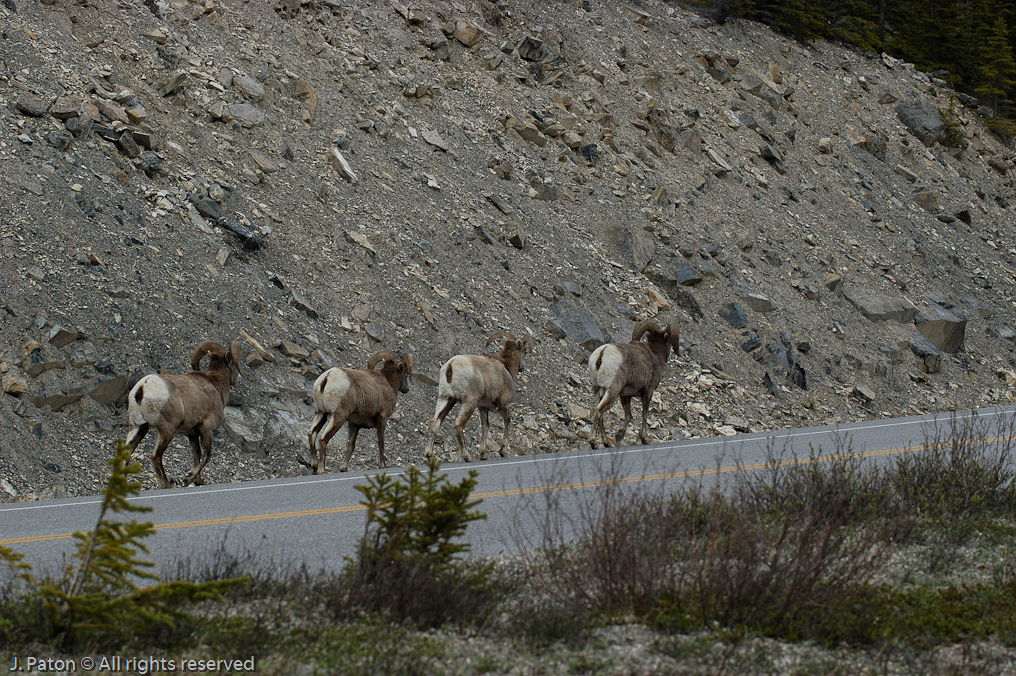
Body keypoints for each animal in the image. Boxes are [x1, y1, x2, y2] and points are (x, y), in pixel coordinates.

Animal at [125, 340, 245, 489]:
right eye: (234, 364)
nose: (236, 379)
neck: (216, 386)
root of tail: (142, 388)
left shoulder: (192, 433)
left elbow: (196, 455)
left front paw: (198, 481)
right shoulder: (206, 430)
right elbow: (207, 455)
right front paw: (188, 479)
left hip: (138, 427)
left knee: (127, 452)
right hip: (166, 431)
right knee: (155, 456)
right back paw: (167, 485)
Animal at [425, 331, 531, 462]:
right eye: (525, 352)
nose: (522, 367)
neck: (506, 369)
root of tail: (450, 366)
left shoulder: (483, 408)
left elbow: (485, 426)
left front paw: (483, 454)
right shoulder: (503, 405)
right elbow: (507, 421)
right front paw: (503, 450)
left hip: (446, 399)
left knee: (435, 421)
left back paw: (429, 453)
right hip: (469, 403)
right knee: (458, 426)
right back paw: (467, 456)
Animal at [588, 320, 680, 449]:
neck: (655, 356)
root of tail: (602, 353)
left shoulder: (625, 395)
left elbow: (628, 415)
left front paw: (619, 437)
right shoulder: (648, 392)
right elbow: (644, 413)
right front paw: (644, 439)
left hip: (597, 389)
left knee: (599, 411)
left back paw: (605, 442)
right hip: (612, 391)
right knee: (599, 410)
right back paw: (593, 442)